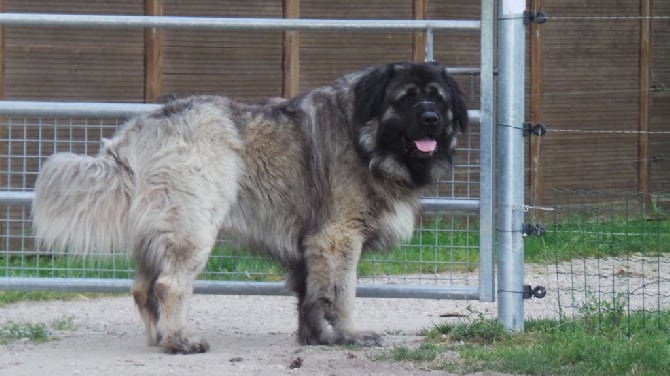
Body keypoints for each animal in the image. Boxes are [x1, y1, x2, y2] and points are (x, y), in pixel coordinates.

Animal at [31, 61, 468, 352]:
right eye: (405, 100)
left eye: (437, 99)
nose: (431, 118)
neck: (365, 136)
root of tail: (142, 127)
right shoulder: (338, 238)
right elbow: (342, 293)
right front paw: (350, 334)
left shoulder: (310, 244)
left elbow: (312, 296)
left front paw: (317, 338)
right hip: (193, 225)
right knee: (169, 285)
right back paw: (180, 340)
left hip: (159, 229)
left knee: (143, 287)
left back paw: (160, 337)